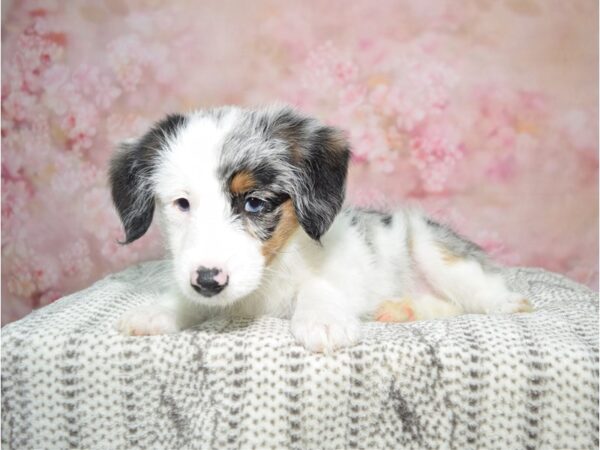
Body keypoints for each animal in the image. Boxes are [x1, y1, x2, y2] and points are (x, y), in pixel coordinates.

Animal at [110, 104, 532, 352]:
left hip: (432, 246)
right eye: (182, 204)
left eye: (254, 203)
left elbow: (317, 286)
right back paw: (402, 309)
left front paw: (323, 321)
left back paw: (506, 301)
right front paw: (160, 310)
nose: (209, 280)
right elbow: (186, 298)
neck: (270, 275)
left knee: (477, 293)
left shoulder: (342, 269)